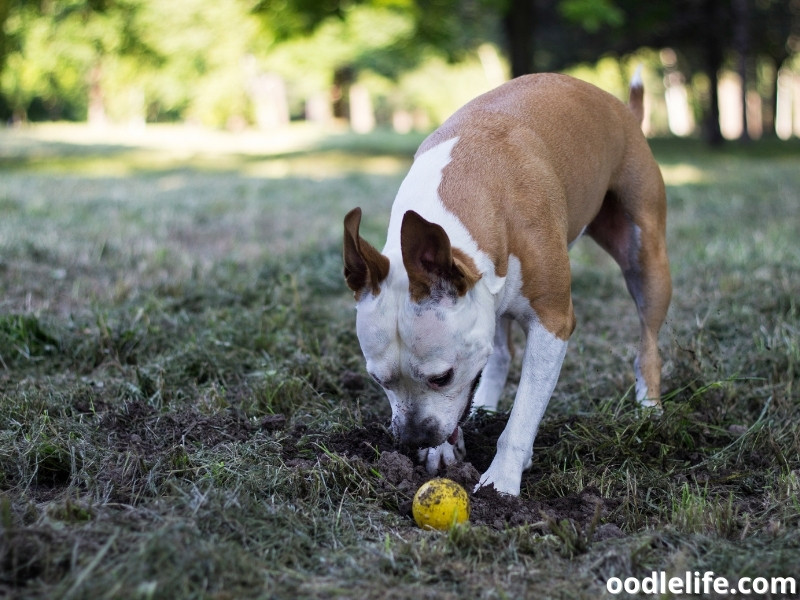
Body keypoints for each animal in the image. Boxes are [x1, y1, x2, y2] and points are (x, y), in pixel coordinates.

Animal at [342, 70, 668, 494]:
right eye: (378, 379)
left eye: (442, 377)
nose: (414, 439)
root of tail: (622, 109)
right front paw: (443, 451)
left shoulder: (552, 323)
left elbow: (524, 413)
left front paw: (502, 482)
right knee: (499, 354)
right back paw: (484, 407)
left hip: (646, 260)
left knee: (648, 340)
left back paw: (649, 409)